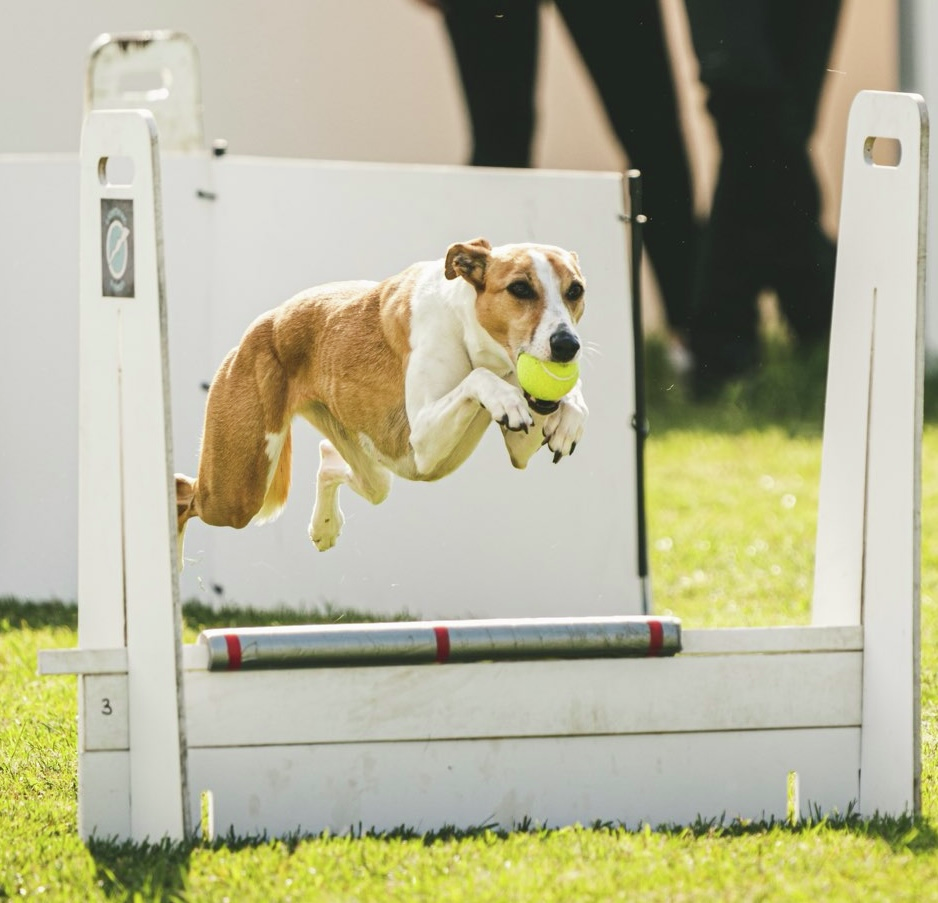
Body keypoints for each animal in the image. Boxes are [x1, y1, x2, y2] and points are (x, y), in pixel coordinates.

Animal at [175, 235, 584, 556]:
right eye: (520, 288)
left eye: (575, 290)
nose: (567, 345)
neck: (467, 324)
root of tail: (264, 323)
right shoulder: (422, 441)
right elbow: (479, 379)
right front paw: (507, 397)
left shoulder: (516, 446)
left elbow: (553, 410)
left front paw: (568, 421)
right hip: (236, 493)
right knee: (186, 494)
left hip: (370, 467)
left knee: (332, 462)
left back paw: (325, 528)